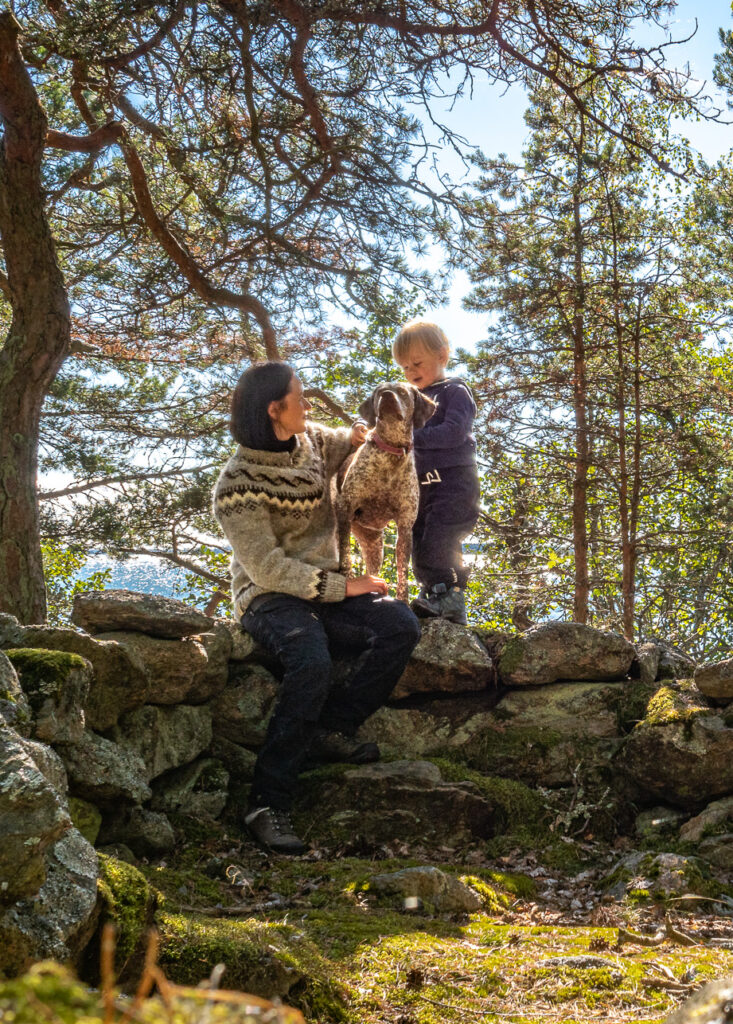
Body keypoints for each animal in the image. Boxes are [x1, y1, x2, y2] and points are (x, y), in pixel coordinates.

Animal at [337, 382, 436, 598]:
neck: (391, 451)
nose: (388, 396)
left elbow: (403, 573)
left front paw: (403, 600)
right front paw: (347, 578)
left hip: (374, 545)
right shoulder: (345, 509)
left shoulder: (405, 526)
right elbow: (344, 553)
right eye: (380, 392)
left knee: (372, 570)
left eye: (403, 392)